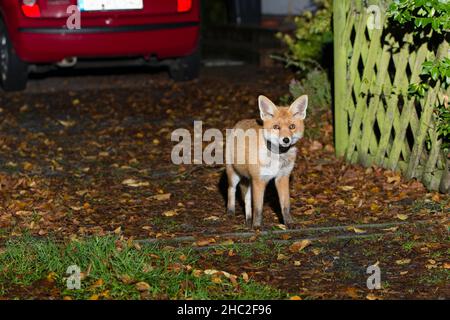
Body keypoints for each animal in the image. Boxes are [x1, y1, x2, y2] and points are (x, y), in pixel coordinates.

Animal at [227, 94, 308, 229]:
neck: (277, 155)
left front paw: (289, 222)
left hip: (249, 180)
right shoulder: (259, 180)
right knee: (231, 190)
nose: (286, 140)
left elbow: (285, 205)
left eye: (292, 126)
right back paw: (231, 211)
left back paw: (248, 218)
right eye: (276, 127)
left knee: (247, 199)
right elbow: (258, 208)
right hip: (234, 175)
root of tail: (239, 122)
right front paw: (257, 226)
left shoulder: (282, 177)